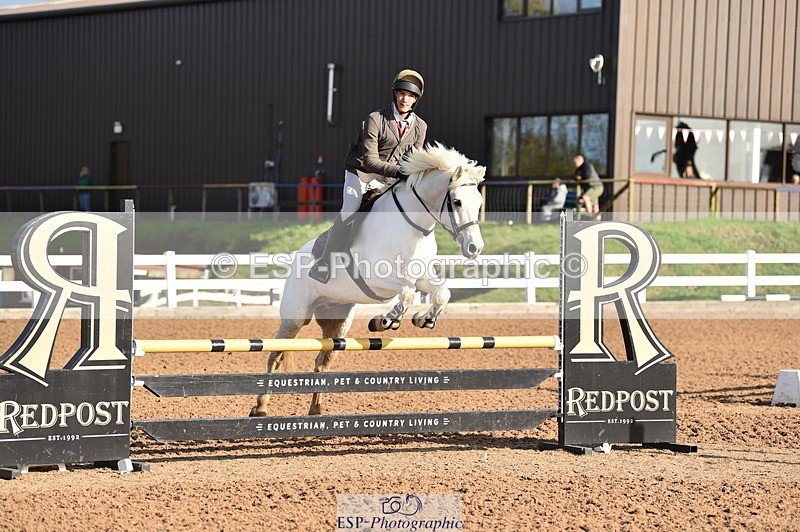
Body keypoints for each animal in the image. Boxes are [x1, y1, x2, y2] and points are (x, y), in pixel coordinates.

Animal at [250, 143, 486, 416]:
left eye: (479, 202)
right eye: (456, 202)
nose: (474, 248)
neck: (413, 227)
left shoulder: (420, 275)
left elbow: (440, 293)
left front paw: (424, 319)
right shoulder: (377, 277)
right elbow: (407, 292)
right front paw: (385, 321)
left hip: (337, 322)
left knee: (322, 362)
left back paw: (316, 410)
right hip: (294, 317)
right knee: (275, 355)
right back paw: (260, 408)